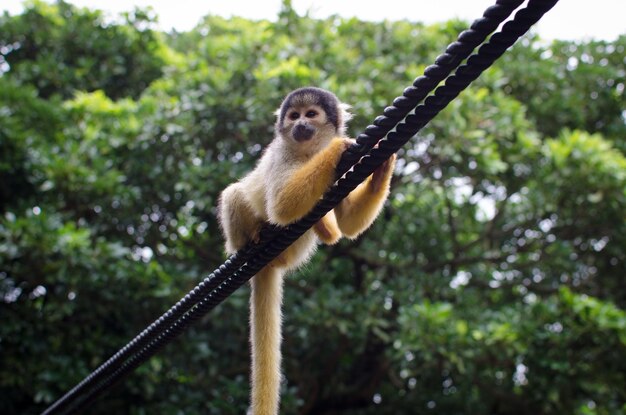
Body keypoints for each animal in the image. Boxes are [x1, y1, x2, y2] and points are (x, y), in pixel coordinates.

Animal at [218, 88, 394, 415]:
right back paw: (255, 237)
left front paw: (381, 168)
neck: (308, 150)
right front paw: (337, 147)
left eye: (310, 114)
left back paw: (324, 230)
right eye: (293, 116)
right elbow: (282, 205)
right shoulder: (281, 152)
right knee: (235, 194)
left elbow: (349, 224)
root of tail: (270, 263)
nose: (299, 124)